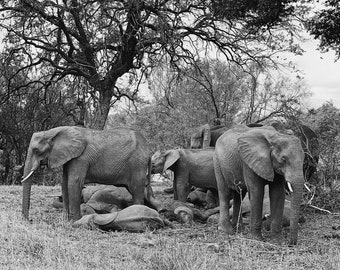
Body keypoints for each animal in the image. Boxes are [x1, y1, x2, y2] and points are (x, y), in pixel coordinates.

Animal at [21, 125, 163, 220]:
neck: (53, 132)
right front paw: (65, 219)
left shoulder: (81, 158)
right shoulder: (70, 156)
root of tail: (148, 149)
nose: (29, 220)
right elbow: (64, 182)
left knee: (137, 189)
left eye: (37, 151)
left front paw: (74, 221)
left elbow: (74, 183)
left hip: (137, 164)